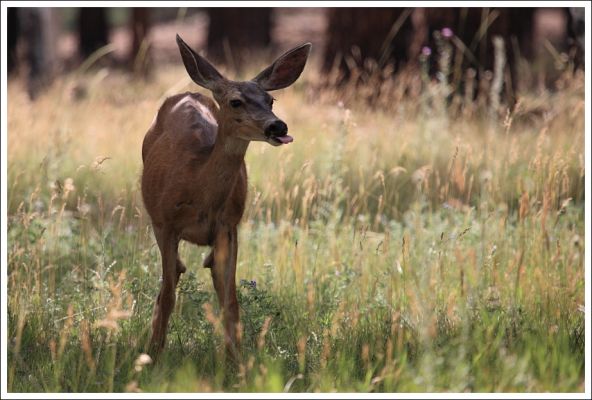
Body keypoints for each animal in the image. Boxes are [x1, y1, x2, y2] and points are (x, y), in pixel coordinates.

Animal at [141, 34, 312, 360]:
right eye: (235, 101)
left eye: (270, 100)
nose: (277, 125)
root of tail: (189, 93)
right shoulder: (166, 223)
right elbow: (168, 294)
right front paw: (153, 354)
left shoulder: (229, 225)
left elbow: (230, 299)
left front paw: (237, 359)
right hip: (155, 218)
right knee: (172, 278)